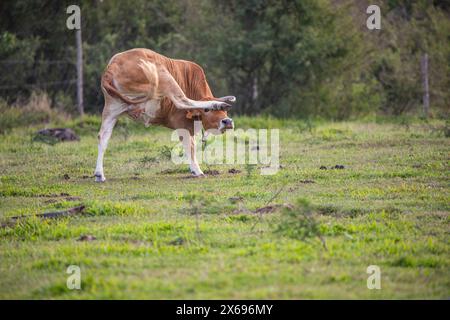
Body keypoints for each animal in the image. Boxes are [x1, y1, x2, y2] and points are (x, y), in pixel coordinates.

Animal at [95, 48, 236, 181]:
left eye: (226, 113)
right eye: (206, 111)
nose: (227, 122)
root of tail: (113, 65)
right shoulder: (184, 126)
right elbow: (190, 146)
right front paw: (197, 170)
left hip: (111, 109)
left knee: (103, 136)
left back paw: (99, 174)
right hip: (164, 77)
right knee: (182, 100)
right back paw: (215, 103)